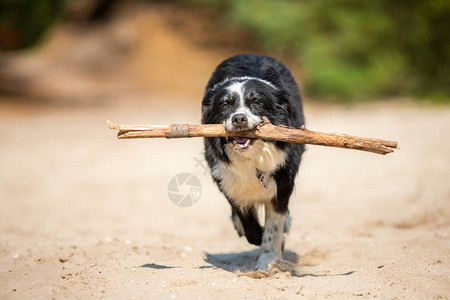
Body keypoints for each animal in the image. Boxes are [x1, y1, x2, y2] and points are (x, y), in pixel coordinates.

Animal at [201, 54, 304, 272]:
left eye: (256, 102)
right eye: (225, 104)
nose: (239, 118)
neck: (252, 156)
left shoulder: (282, 180)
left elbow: (274, 227)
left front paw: (268, 261)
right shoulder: (227, 179)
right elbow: (246, 218)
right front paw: (255, 234)